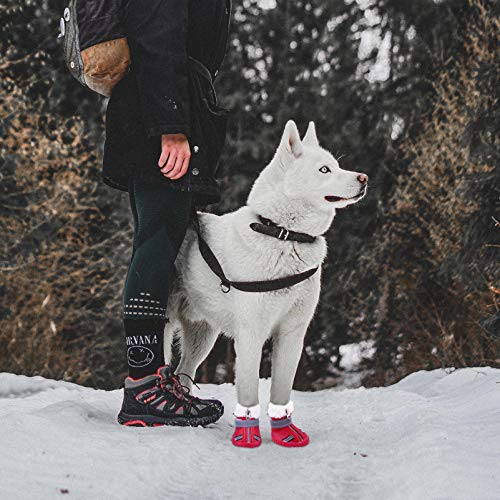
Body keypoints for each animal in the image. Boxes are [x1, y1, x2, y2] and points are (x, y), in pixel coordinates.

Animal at [164, 119, 368, 448]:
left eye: (337, 166)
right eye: (324, 170)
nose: (364, 178)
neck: (284, 235)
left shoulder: (293, 334)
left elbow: (281, 389)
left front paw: (285, 432)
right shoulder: (251, 335)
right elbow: (248, 391)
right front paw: (247, 437)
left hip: (203, 337)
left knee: (183, 372)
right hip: (165, 323)